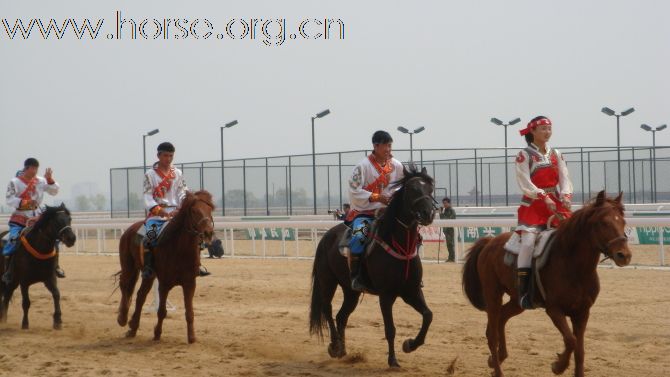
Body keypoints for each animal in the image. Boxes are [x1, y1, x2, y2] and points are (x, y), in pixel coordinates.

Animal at [117, 189, 217, 342]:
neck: (180, 249)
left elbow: (189, 312)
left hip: (149, 275)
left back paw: (133, 327)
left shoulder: (190, 283)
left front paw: (191, 337)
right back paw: (122, 318)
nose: (208, 233)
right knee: (124, 285)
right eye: (194, 211)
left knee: (141, 295)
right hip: (129, 267)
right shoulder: (164, 284)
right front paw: (157, 333)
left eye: (210, 209)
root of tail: (130, 230)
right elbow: (162, 311)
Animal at [308, 165, 438, 368]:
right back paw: (335, 346)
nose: (428, 214)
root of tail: (327, 236)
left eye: (430, 189)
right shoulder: (386, 295)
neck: (397, 244)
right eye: (412, 189)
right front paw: (393, 360)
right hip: (327, 281)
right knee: (327, 309)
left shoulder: (411, 291)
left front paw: (410, 344)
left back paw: (342, 349)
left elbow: (428, 315)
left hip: (350, 291)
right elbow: (390, 329)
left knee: (341, 316)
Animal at [464, 191, 632, 376]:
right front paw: (558, 365)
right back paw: (498, 368)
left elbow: (579, 351)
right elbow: (571, 340)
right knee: (492, 334)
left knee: (501, 318)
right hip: (492, 294)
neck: (573, 266)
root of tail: (489, 242)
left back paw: (498, 359)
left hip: (517, 302)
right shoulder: (554, 310)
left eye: (623, 222)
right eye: (603, 222)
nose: (624, 255)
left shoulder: (582, 313)